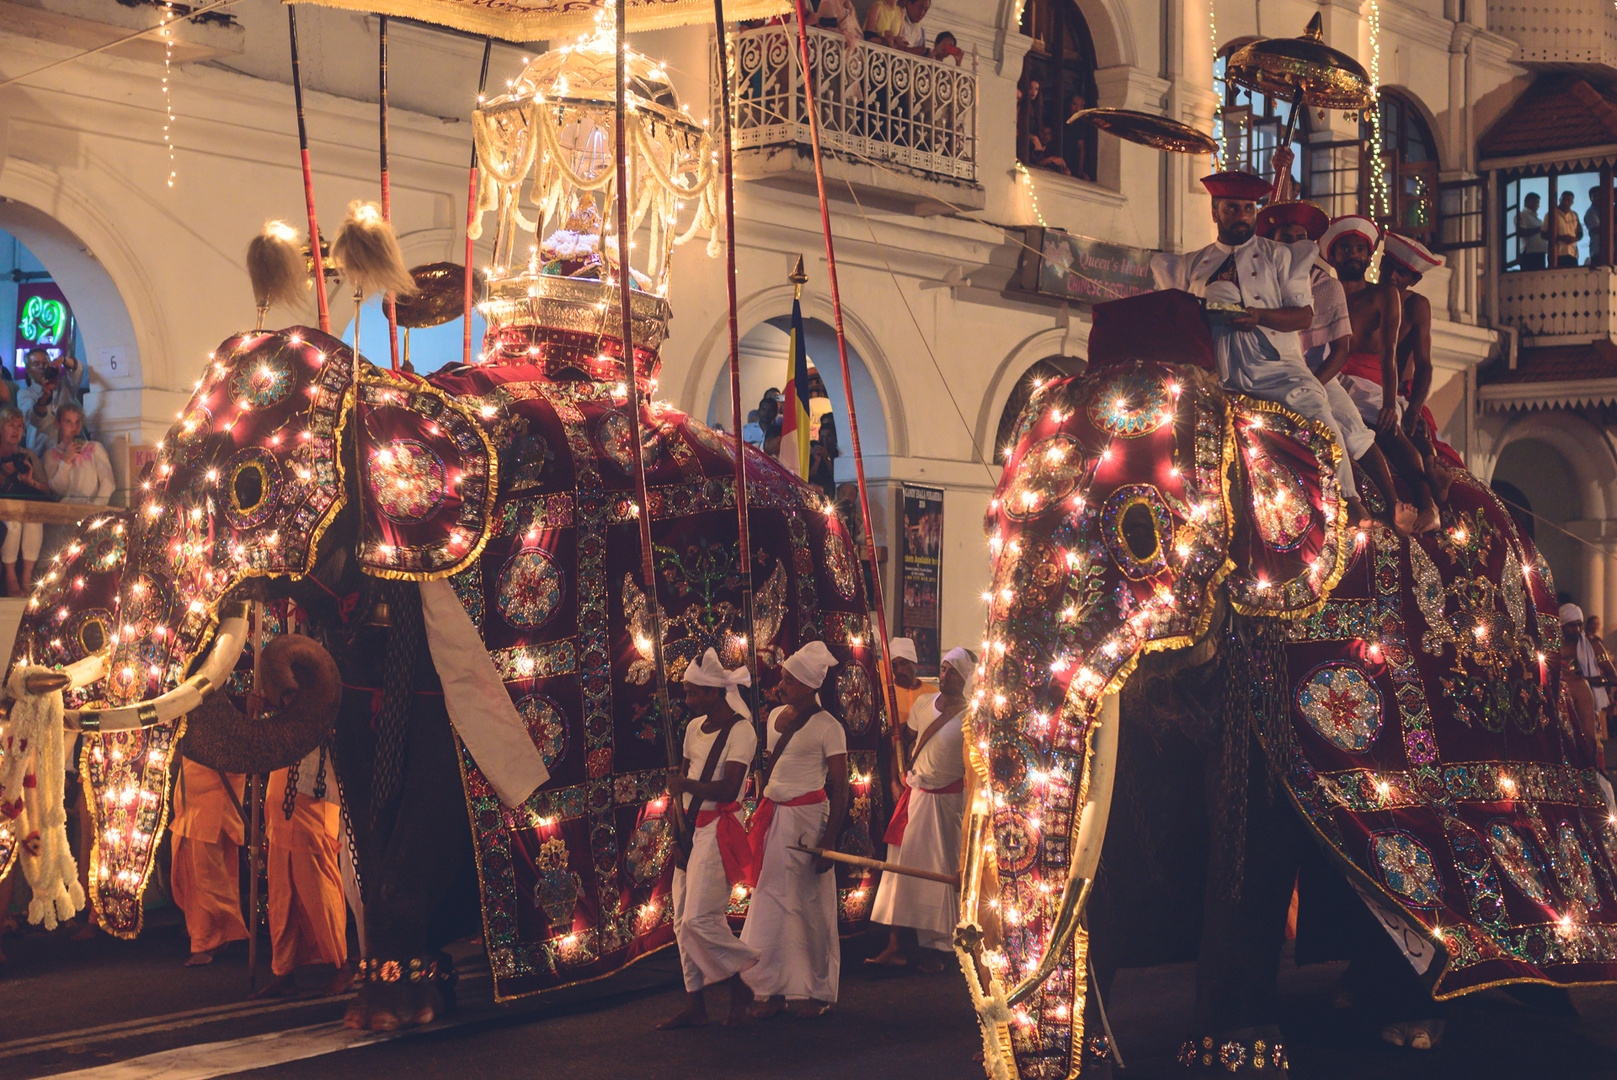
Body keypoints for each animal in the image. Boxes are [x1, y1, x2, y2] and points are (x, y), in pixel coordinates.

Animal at [0, 326, 892, 1028]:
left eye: (249, 488)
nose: (270, 649)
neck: (395, 386)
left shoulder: (476, 609)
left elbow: (442, 782)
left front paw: (395, 1008)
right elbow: (367, 764)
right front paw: (394, 994)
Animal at [944, 358, 1617, 1073]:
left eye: (1138, 531)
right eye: (989, 533)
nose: (996, 1026)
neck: (1237, 406)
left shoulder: (1278, 659)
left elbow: (1256, 823)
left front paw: (1231, 1056)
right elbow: (1117, 819)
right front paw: (1096, 1052)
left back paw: (1410, 1024)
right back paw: (1359, 1000)